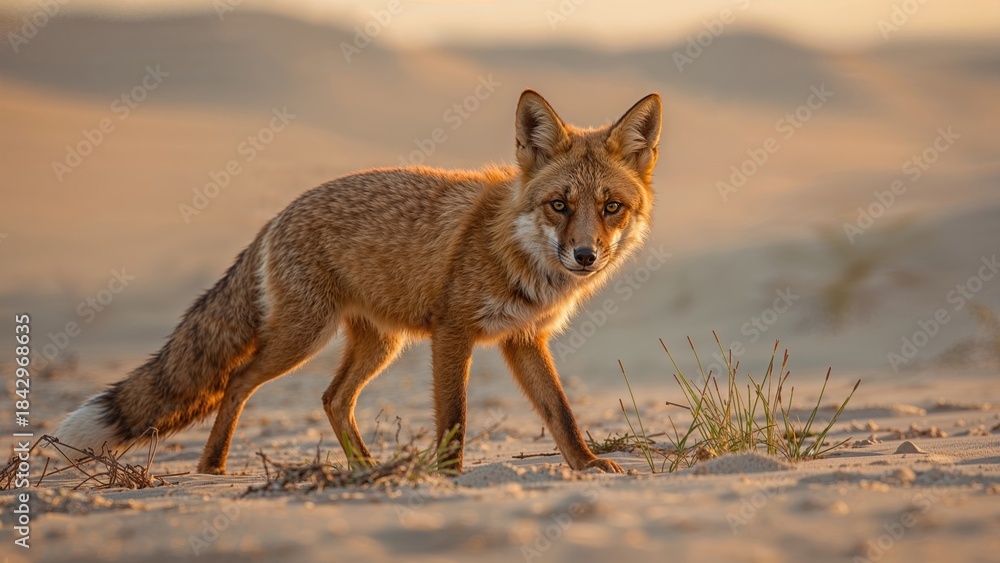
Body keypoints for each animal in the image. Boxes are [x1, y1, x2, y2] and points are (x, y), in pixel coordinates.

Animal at [54, 89, 662, 475]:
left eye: (611, 207)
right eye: (560, 205)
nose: (585, 255)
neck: (515, 248)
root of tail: (278, 215)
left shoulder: (524, 339)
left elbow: (560, 412)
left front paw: (586, 465)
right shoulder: (453, 332)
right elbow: (455, 418)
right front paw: (448, 475)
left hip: (378, 344)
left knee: (332, 398)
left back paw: (364, 466)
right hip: (302, 339)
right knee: (238, 382)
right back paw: (212, 466)